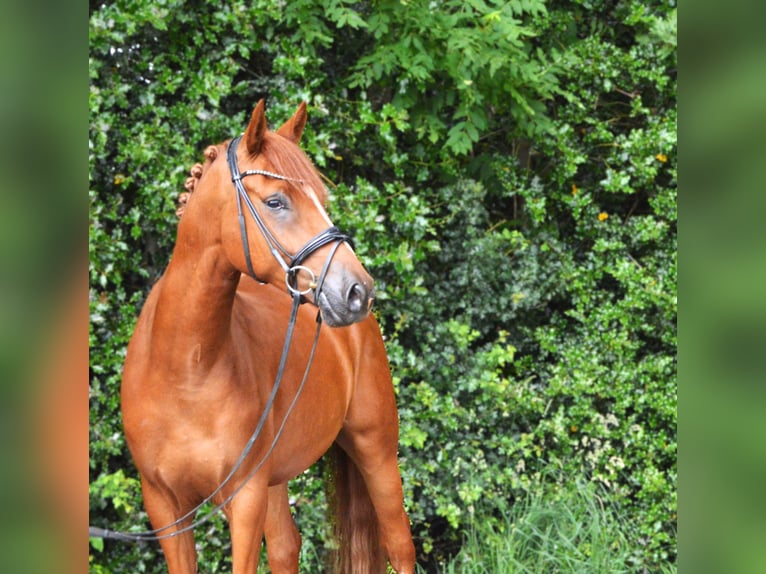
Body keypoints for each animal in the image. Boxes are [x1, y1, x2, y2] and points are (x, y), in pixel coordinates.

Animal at [122, 101, 416, 572]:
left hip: (376, 449)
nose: (357, 291)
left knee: (399, 544)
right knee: (285, 548)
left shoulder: (245, 498)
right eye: (275, 201)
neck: (185, 369)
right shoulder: (164, 506)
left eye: (322, 199)